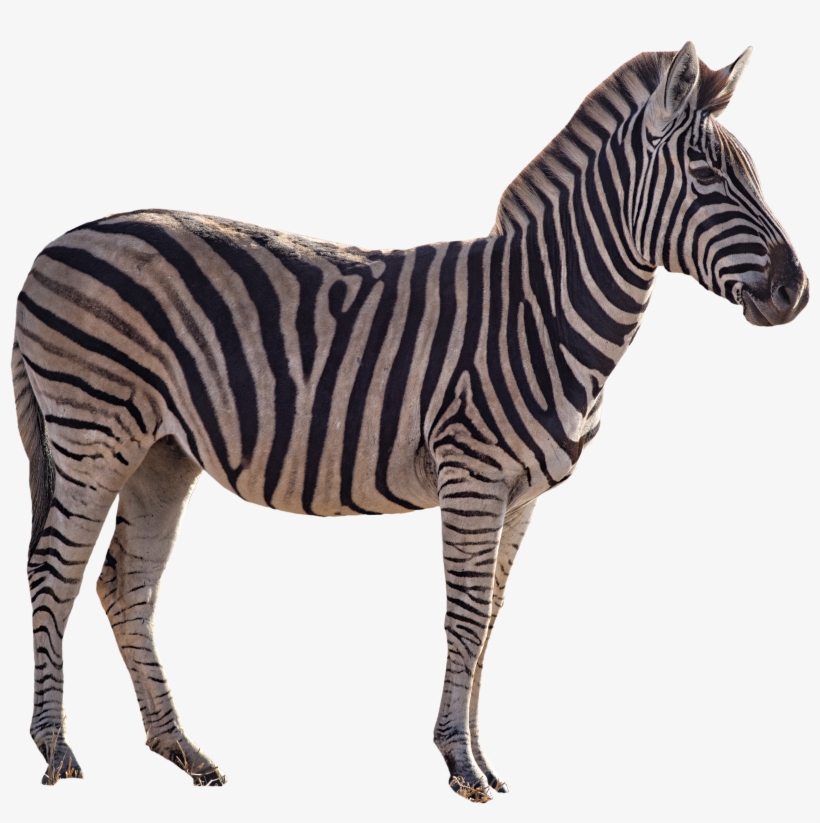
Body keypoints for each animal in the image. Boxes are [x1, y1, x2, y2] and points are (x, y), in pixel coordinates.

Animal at [12, 41, 808, 800]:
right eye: (706, 175)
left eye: (753, 175)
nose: (795, 290)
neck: (543, 309)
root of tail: (50, 247)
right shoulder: (473, 474)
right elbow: (465, 615)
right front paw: (460, 763)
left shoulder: (521, 496)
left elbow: (491, 619)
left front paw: (485, 759)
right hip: (92, 433)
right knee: (54, 569)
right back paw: (56, 749)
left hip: (160, 452)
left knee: (126, 583)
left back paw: (182, 750)